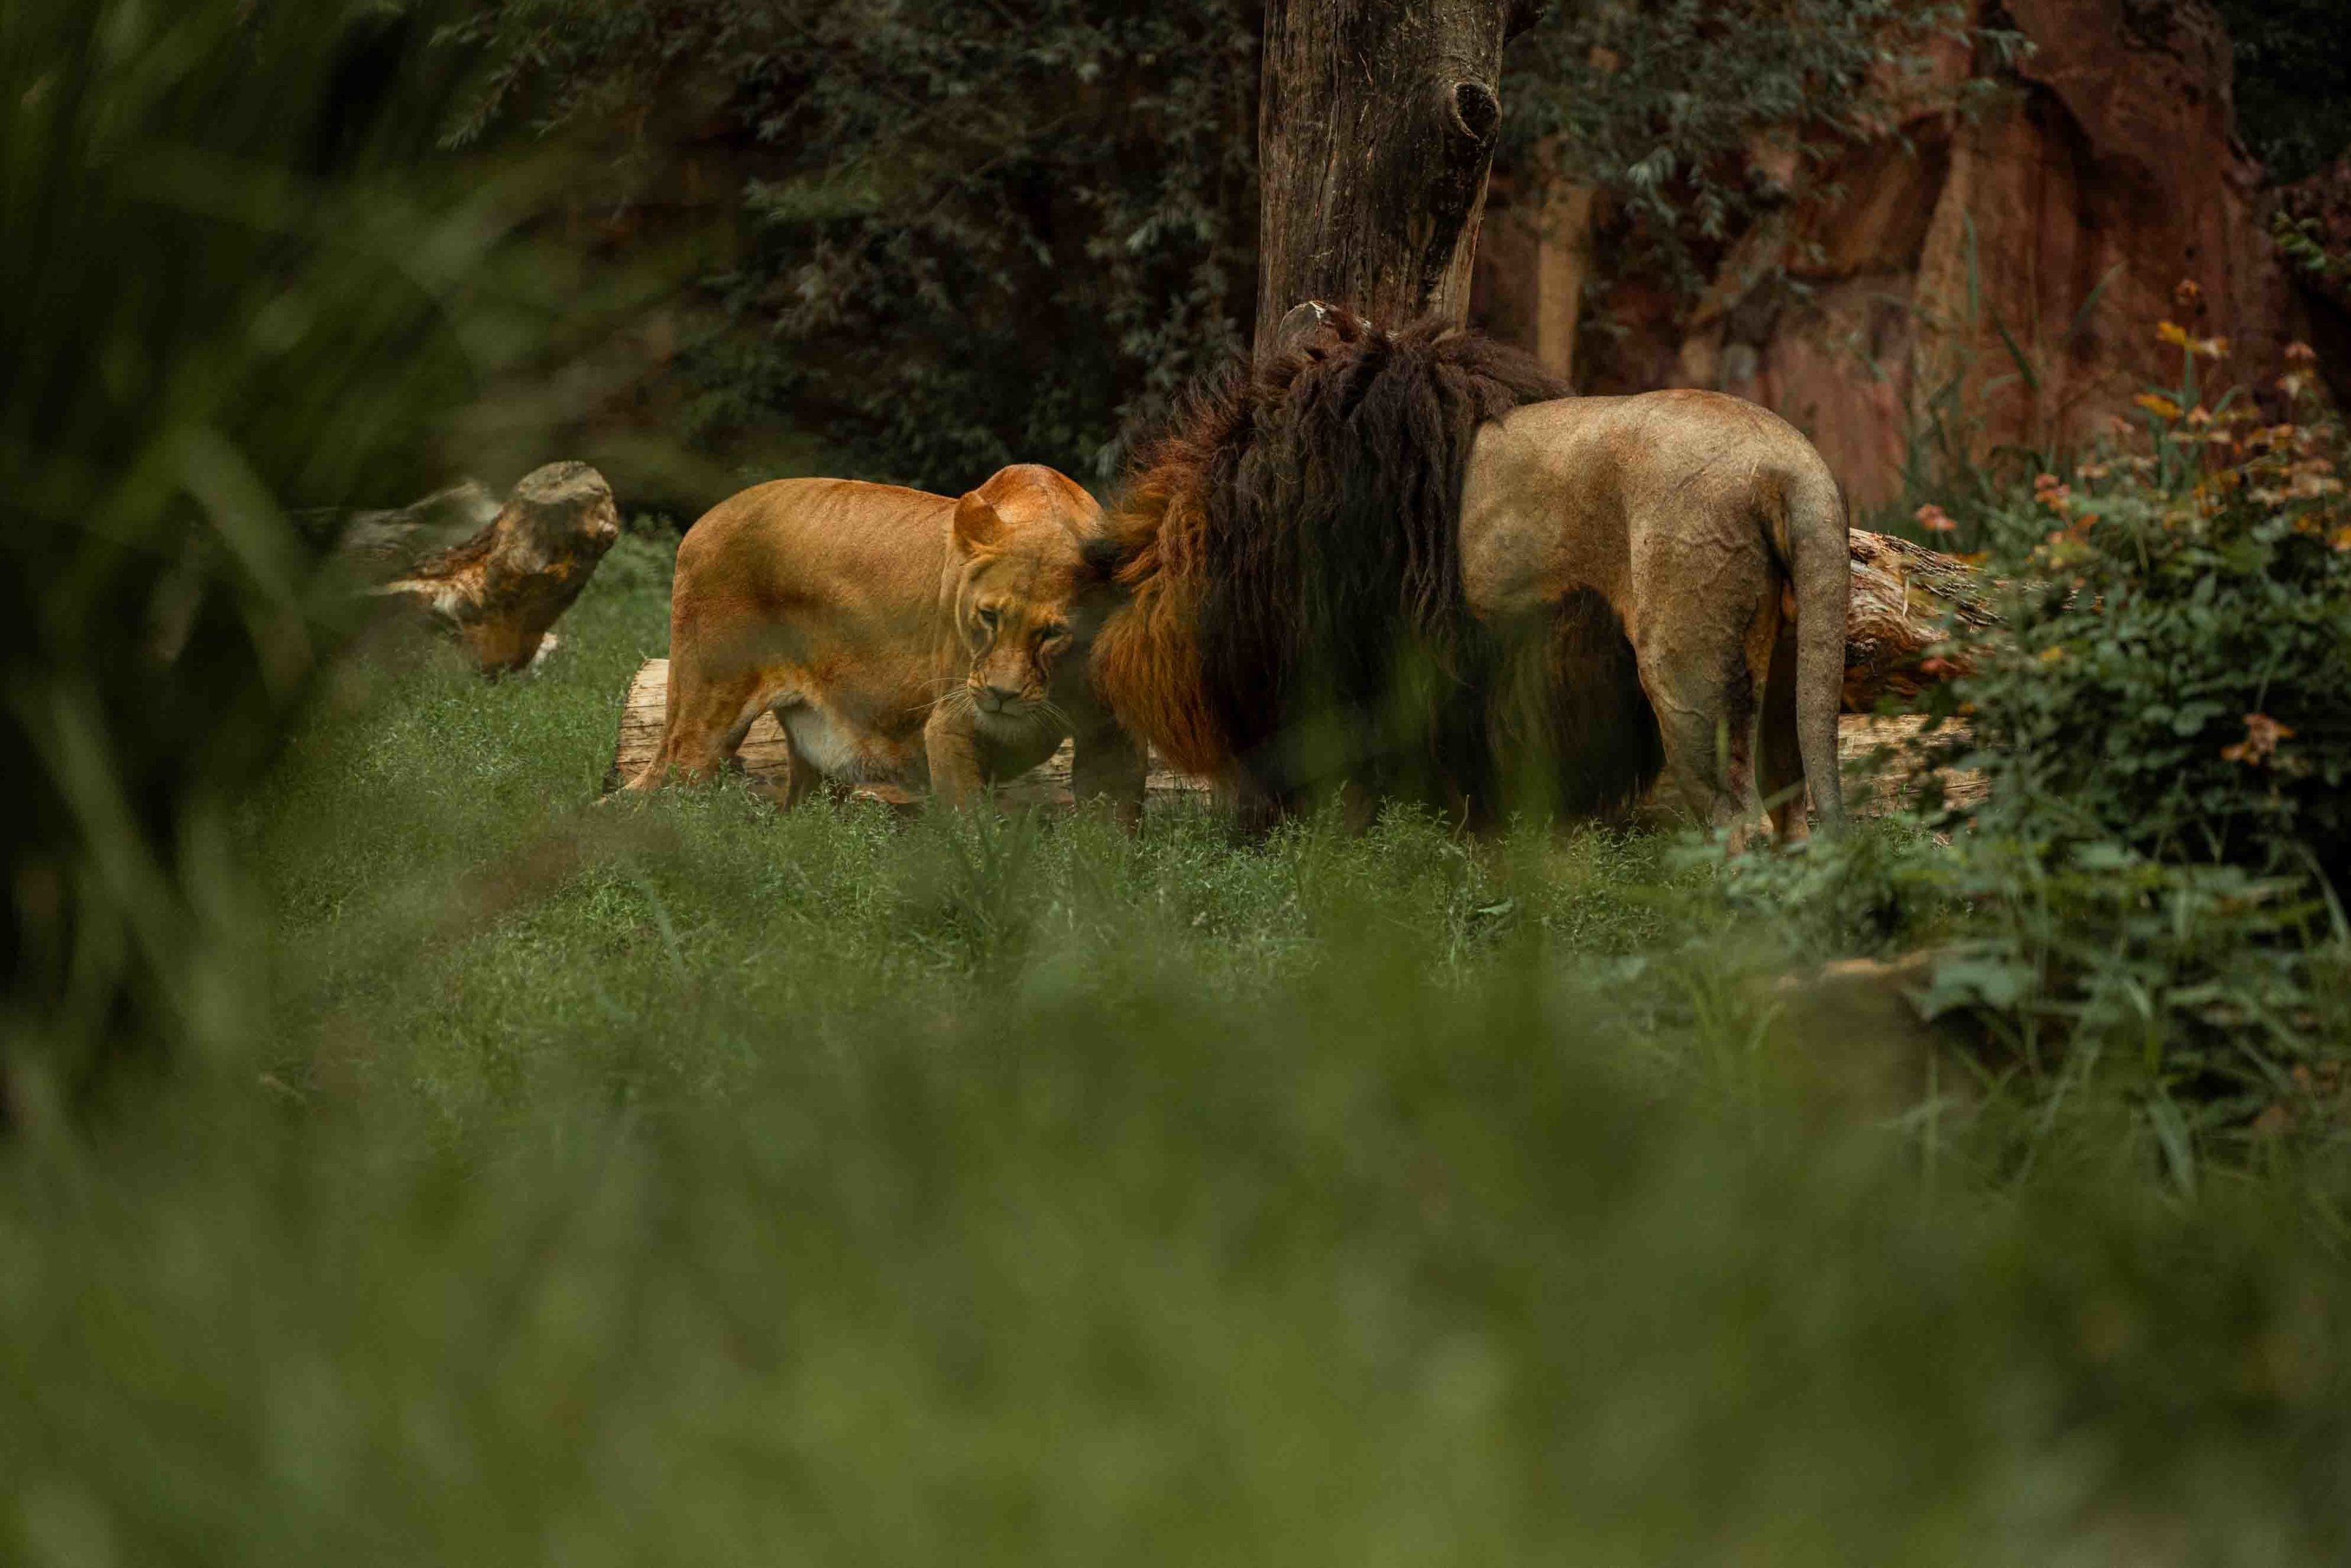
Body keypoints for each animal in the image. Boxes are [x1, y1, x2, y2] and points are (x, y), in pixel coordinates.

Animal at [625, 464, 1144, 819]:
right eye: (989, 617)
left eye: (1053, 633)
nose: (1001, 695)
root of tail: (703, 521)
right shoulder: (952, 726)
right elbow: (970, 826)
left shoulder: (1111, 734)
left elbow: (1115, 830)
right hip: (704, 722)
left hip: (816, 755)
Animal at [1087, 306, 1848, 843]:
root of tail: (1791, 462)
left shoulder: (1354, 653)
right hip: (1785, 664)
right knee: (1791, 816)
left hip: (1687, 674)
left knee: (1737, 819)